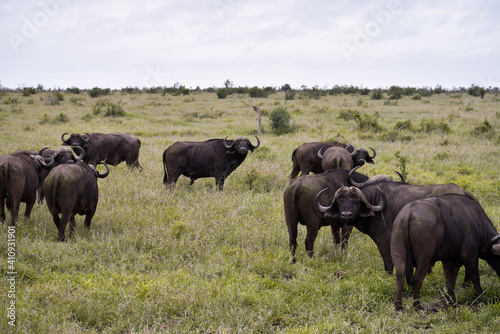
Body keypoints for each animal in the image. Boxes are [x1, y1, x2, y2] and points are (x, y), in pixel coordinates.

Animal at [316, 177, 476, 274]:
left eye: (356, 201)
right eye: (340, 201)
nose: (346, 215)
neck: (376, 202)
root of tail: (464, 192)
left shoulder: (385, 242)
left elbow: (388, 264)